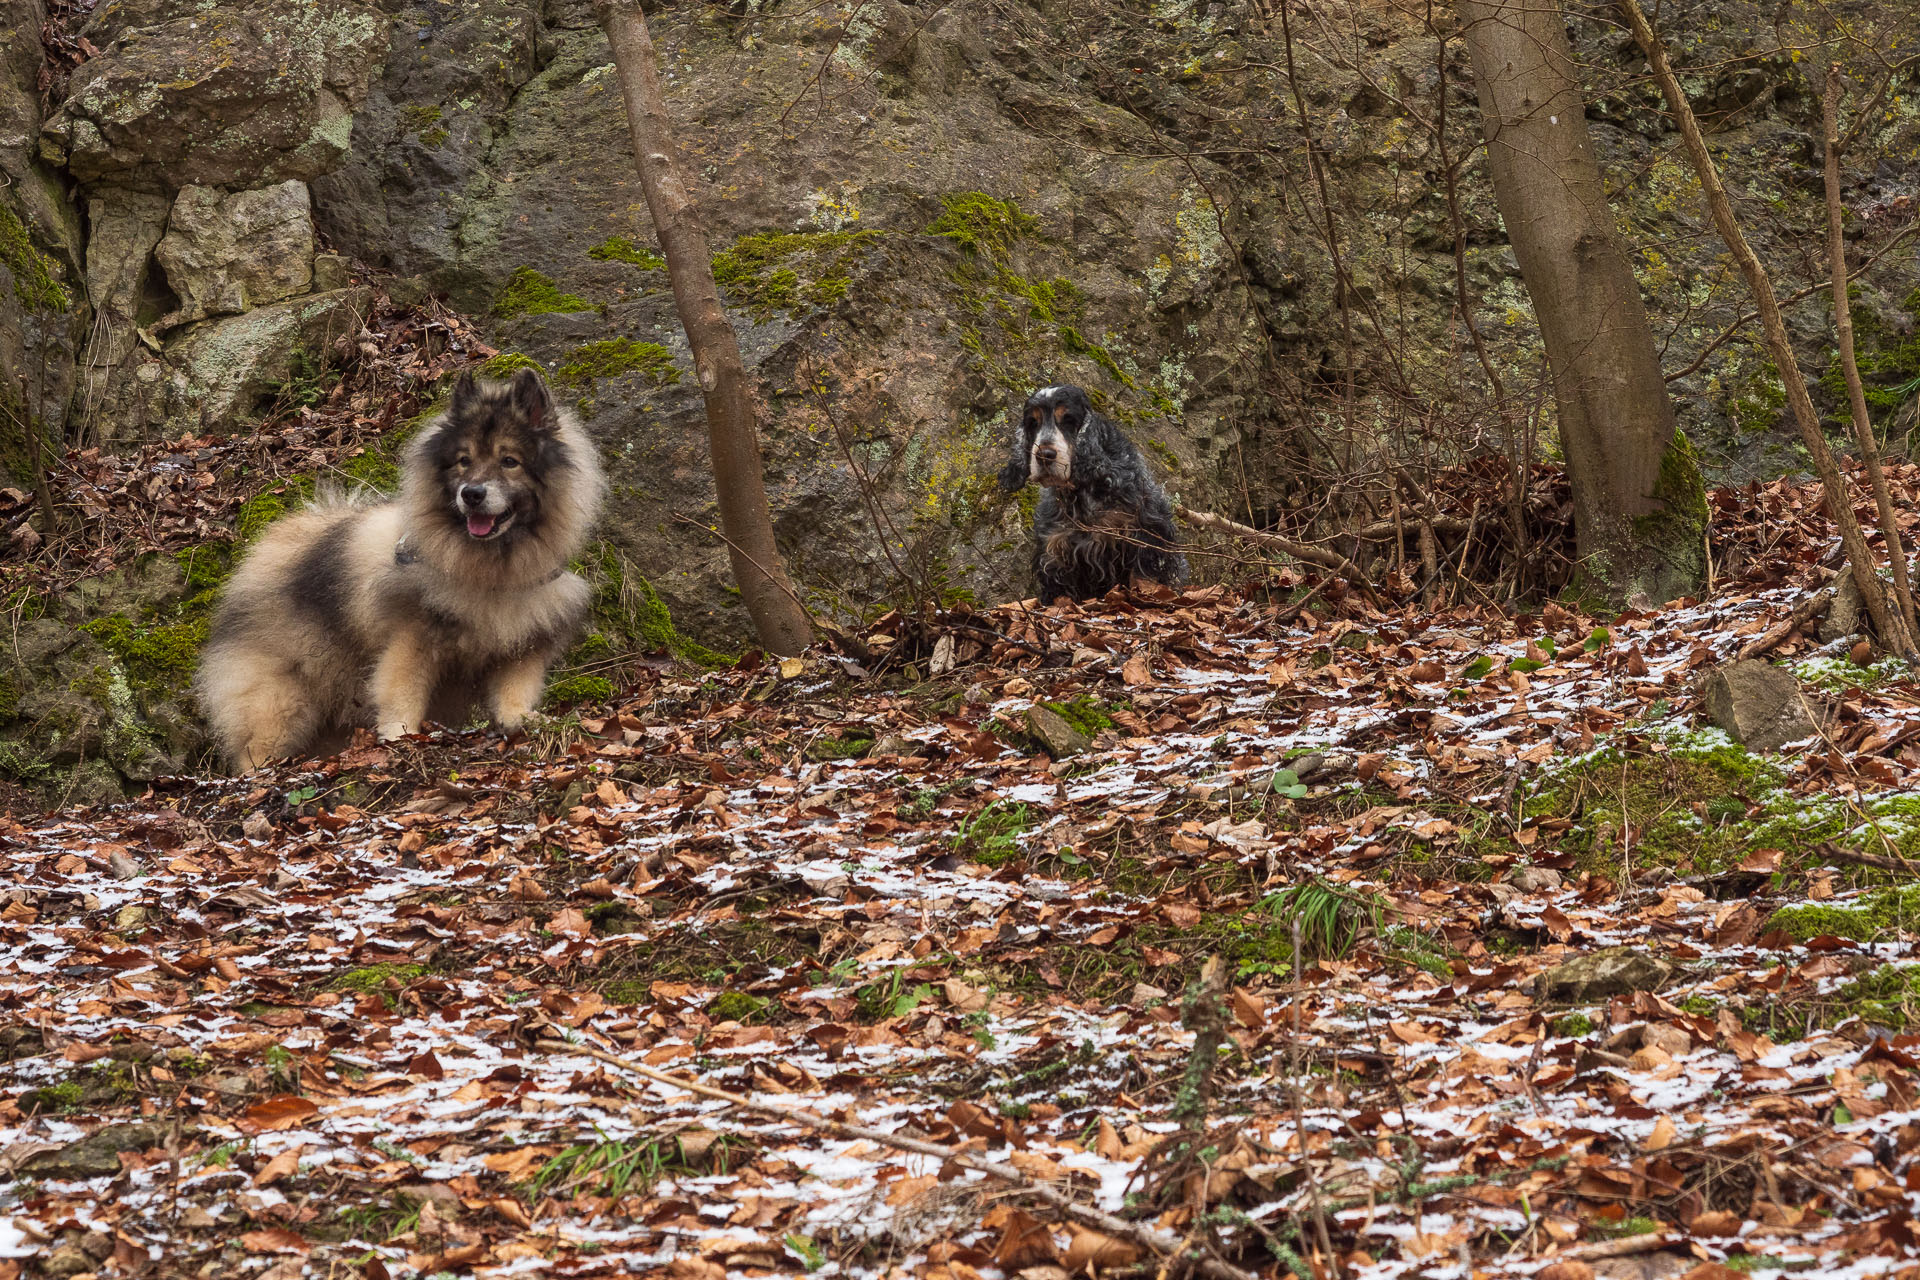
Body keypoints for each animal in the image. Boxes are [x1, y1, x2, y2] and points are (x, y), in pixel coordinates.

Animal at [197, 370, 602, 771]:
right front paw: (399, 737)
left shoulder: (524, 642)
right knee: (256, 746)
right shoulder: (412, 636)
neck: (490, 572)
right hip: (280, 700)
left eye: (509, 461)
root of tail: (261, 555)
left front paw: (523, 720)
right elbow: (401, 692)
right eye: (464, 460)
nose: (471, 493)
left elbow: (514, 690)